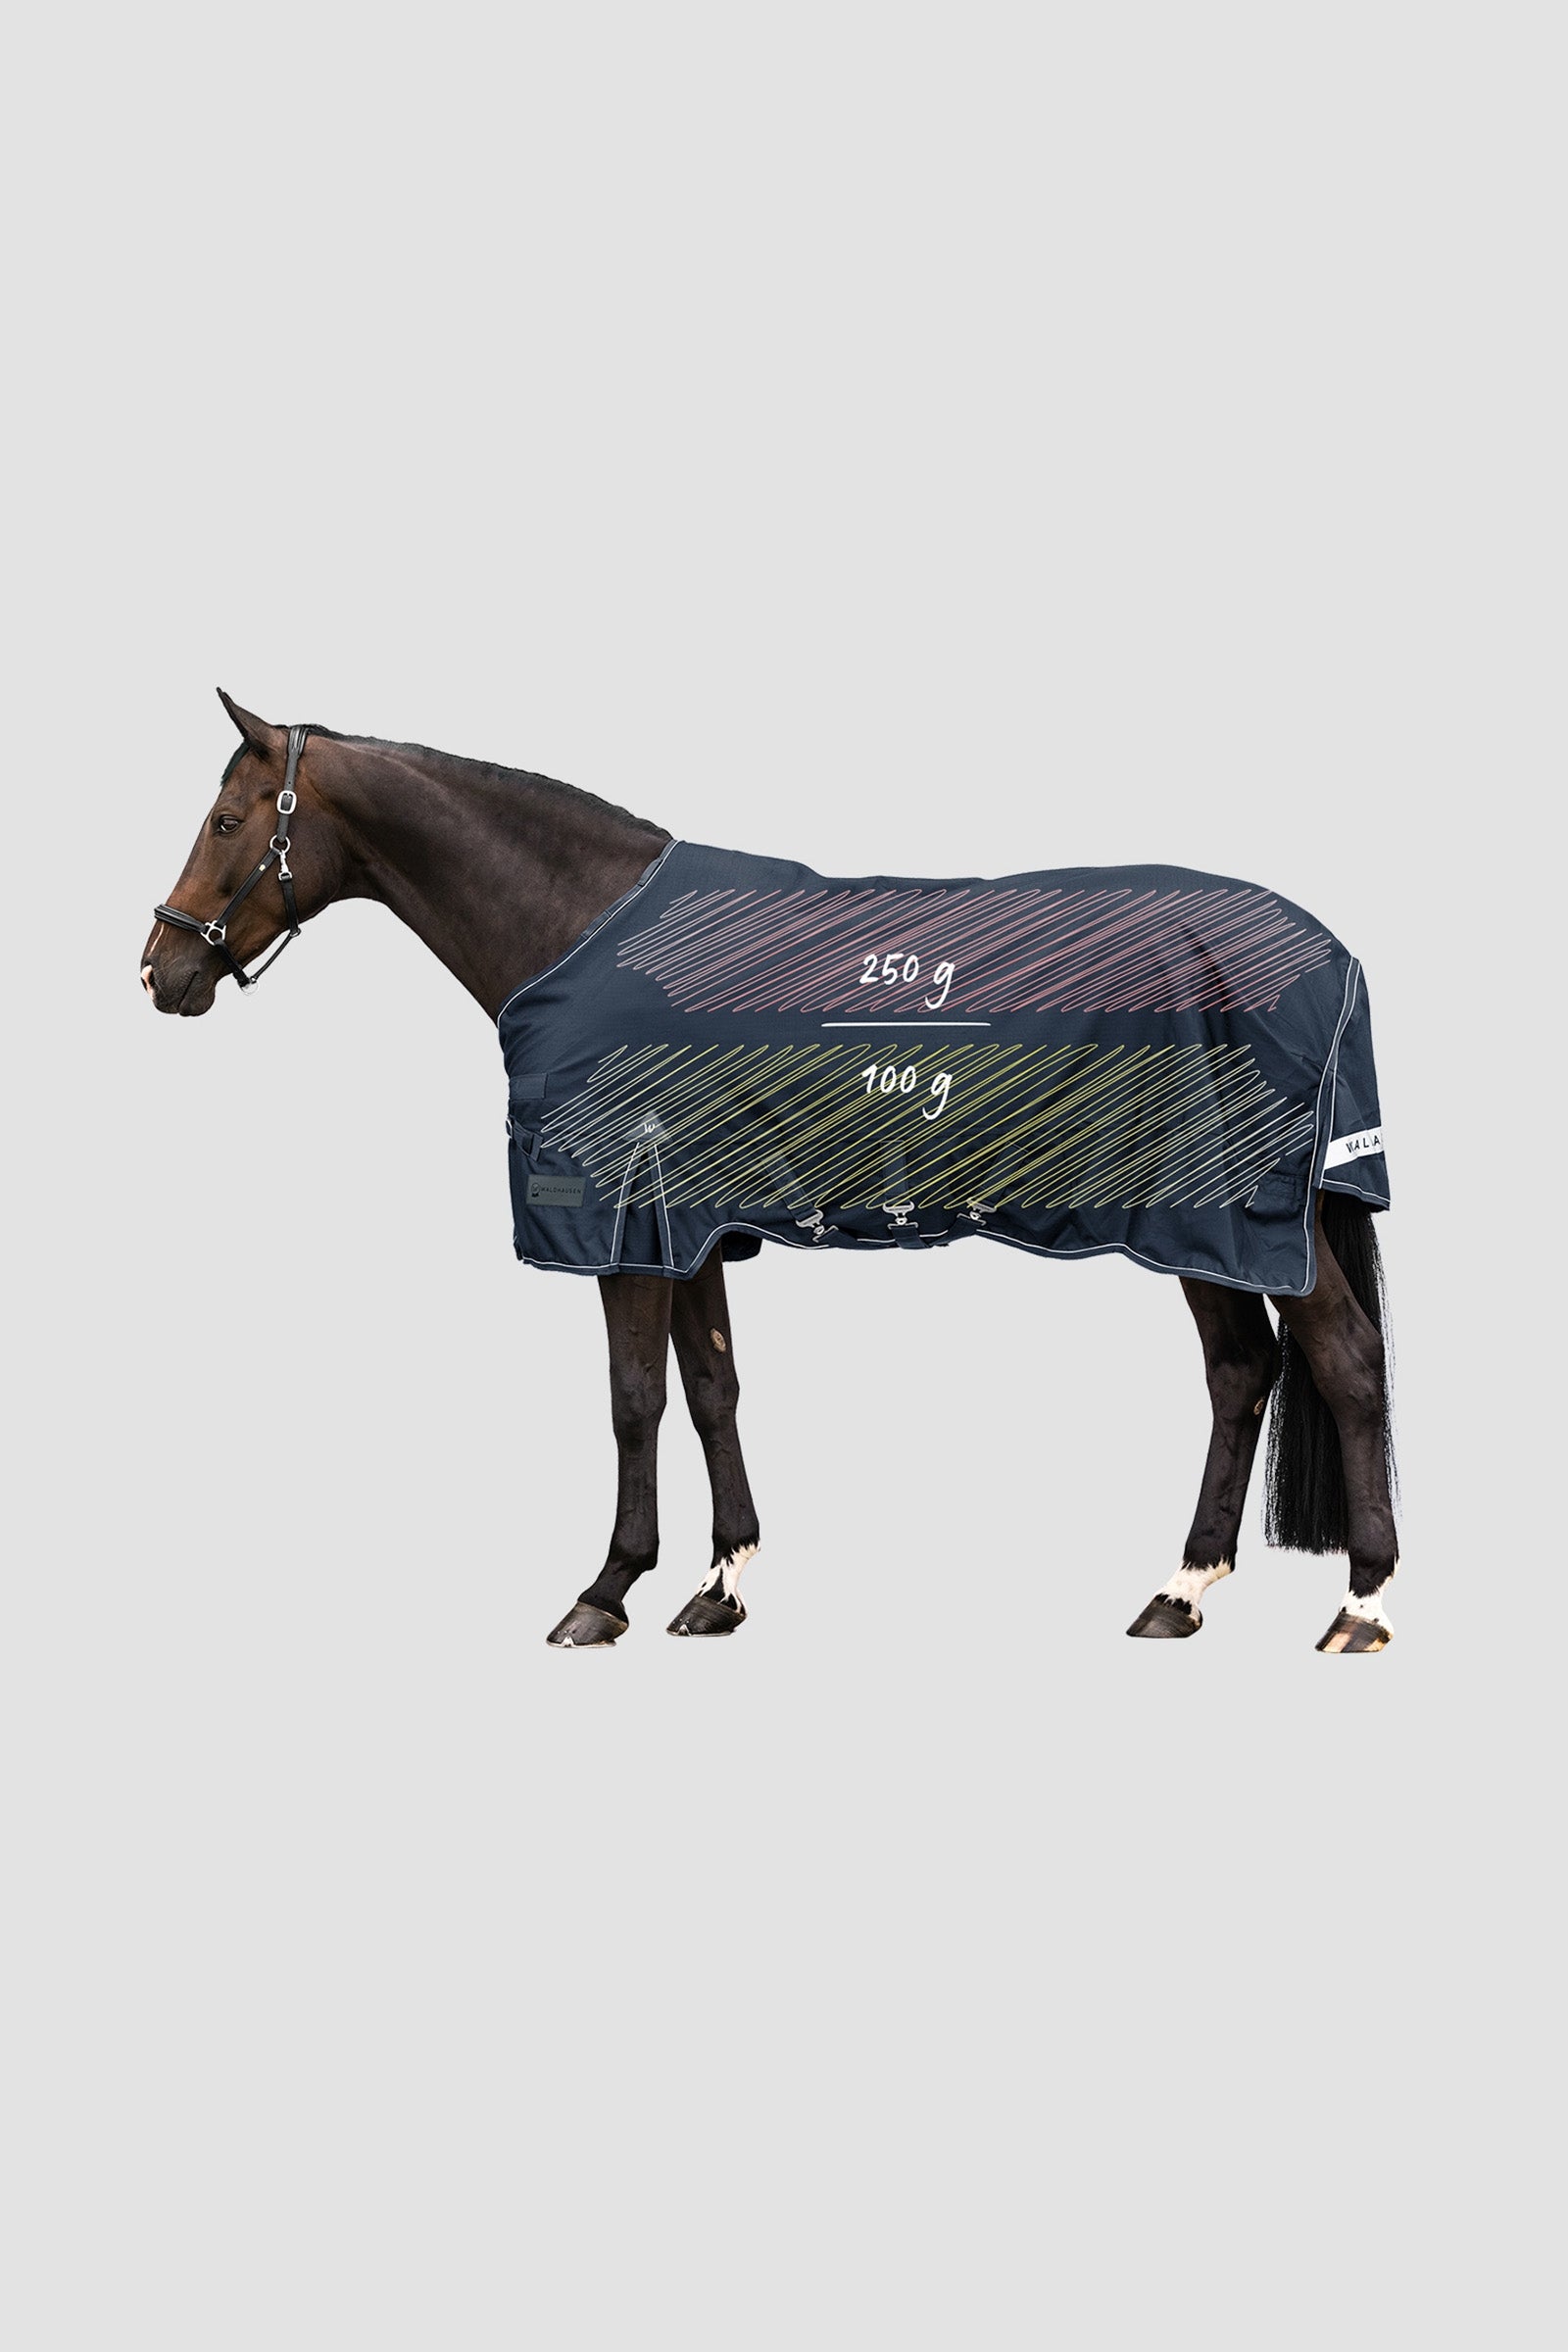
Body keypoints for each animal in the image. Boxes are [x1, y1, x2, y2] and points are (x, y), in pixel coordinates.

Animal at [142, 692, 1398, 1655]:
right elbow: (710, 1390)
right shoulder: (688, 1224)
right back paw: (1178, 1593)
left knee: (1341, 1361)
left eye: (224, 819)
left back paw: (1362, 1605)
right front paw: (719, 1586)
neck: (580, 929)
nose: (158, 970)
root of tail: (1328, 954)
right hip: (1198, 1228)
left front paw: (605, 1593)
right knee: (1239, 1374)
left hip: (1242, 1220)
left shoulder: (622, 1225)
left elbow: (632, 1400)